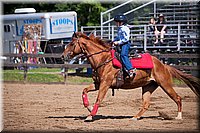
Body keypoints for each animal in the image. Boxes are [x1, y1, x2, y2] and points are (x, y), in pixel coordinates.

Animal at [61, 32, 200, 121]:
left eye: (72, 44)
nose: (62, 56)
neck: (103, 59)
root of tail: (163, 65)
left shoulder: (105, 84)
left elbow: (99, 99)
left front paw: (90, 116)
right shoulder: (98, 84)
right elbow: (84, 90)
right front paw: (89, 108)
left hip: (165, 84)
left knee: (177, 98)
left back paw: (179, 117)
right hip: (148, 86)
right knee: (146, 104)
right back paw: (135, 117)